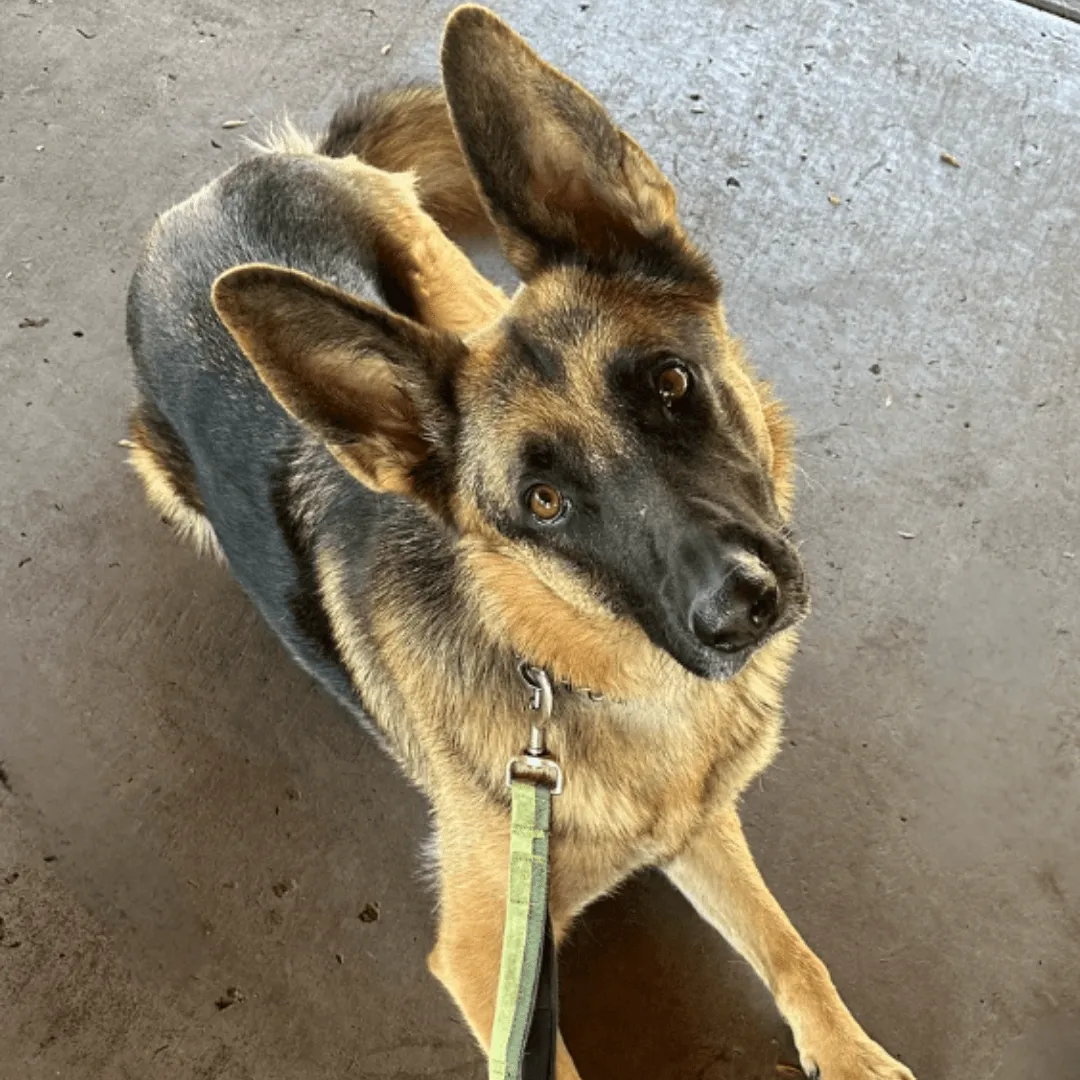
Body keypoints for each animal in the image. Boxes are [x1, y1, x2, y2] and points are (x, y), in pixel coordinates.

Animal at [128, 8, 920, 1080]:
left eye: (669, 383)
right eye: (543, 503)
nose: (738, 610)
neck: (575, 672)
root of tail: (220, 187)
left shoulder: (698, 822)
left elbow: (791, 949)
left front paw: (849, 1053)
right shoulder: (487, 960)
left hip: (451, 290)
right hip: (165, 473)